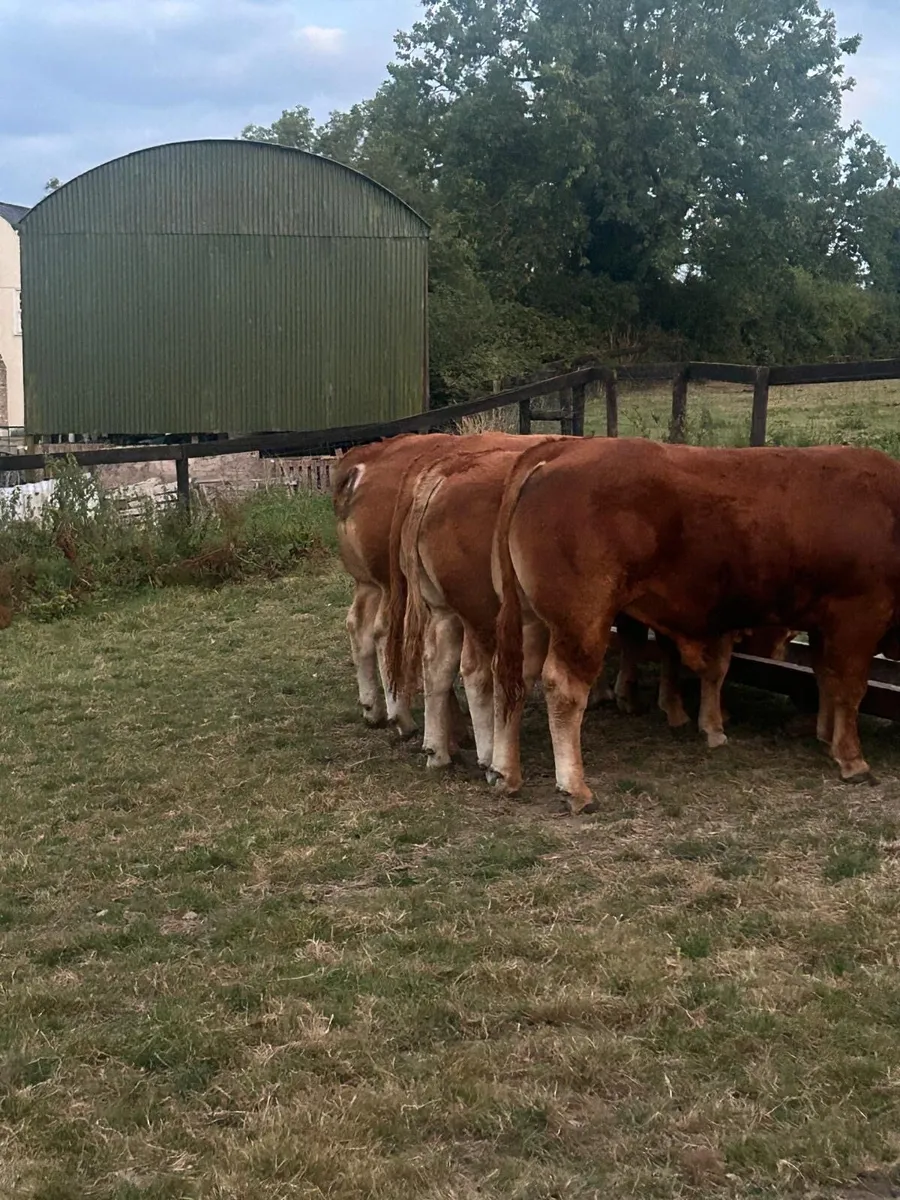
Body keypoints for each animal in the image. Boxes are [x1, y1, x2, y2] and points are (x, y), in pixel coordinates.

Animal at [490, 438, 900, 812]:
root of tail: (561, 449)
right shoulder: (859, 617)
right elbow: (850, 689)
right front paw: (852, 758)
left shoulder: (823, 624)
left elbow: (825, 679)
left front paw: (826, 736)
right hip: (583, 621)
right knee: (563, 688)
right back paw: (575, 788)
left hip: (532, 621)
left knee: (514, 677)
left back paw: (505, 772)